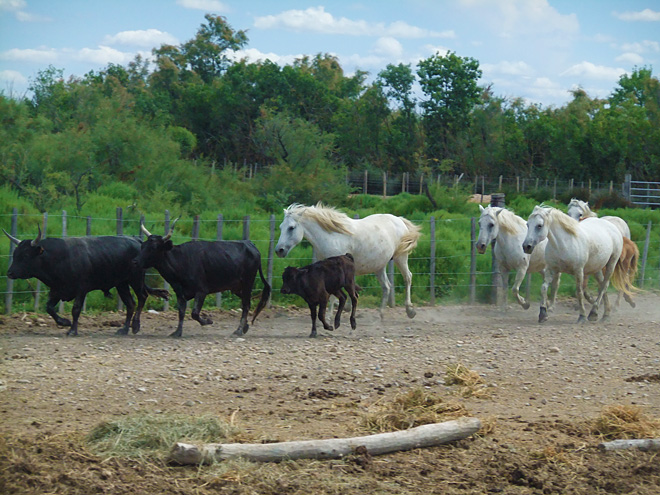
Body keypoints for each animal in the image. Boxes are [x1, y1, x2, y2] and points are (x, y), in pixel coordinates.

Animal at [3, 228, 168, 338]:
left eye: (25, 255)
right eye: (15, 254)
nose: (9, 273)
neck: (60, 257)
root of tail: (136, 240)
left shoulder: (81, 289)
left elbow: (76, 309)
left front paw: (72, 330)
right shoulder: (57, 290)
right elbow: (49, 308)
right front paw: (64, 322)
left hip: (135, 279)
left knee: (142, 297)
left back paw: (135, 326)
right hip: (121, 284)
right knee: (130, 303)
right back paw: (124, 329)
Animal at [134, 223, 270, 340]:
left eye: (154, 247)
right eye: (143, 245)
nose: (135, 261)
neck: (181, 261)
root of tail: (250, 244)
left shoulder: (201, 290)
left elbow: (194, 313)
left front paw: (208, 320)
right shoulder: (180, 292)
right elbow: (181, 312)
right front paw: (177, 332)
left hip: (248, 282)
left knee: (246, 305)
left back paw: (239, 330)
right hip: (237, 287)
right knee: (247, 302)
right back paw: (245, 326)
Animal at [274, 203, 420, 320]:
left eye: (291, 227)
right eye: (280, 227)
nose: (279, 250)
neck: (331, 236)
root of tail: (399, 220)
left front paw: (329, 316)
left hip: (401, 257)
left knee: (408, 277)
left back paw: (410, 310)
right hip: (379, 265)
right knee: (387, 286)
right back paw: (381, 314)